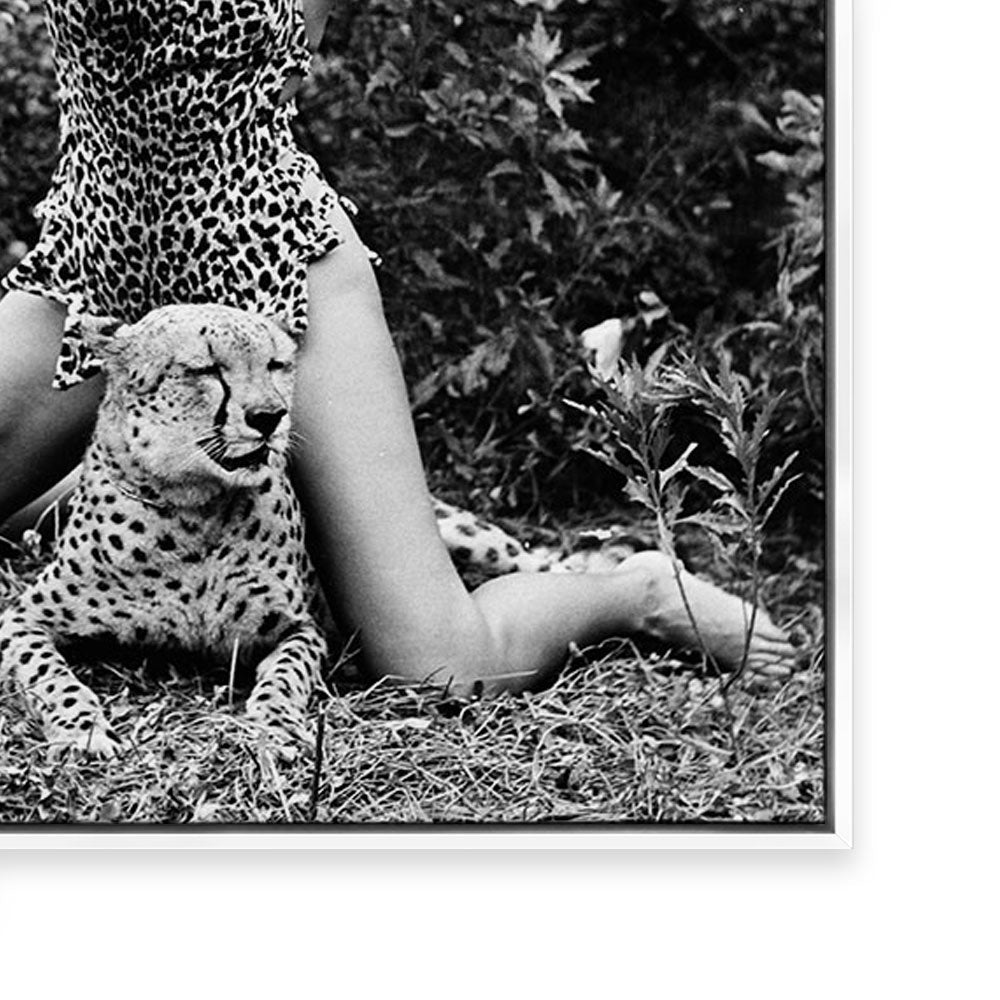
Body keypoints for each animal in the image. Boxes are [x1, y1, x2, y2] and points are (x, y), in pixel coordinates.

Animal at [0, 303, 641, 758]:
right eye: (206, 369)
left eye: (277, 365)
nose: (268, 417)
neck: (194, 510)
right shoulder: (21, 617)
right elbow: (51, 675)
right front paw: (83, 730)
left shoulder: (303, 629)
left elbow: (285, 677)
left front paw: (275, 726)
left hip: (472, 541)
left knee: (549, 563)